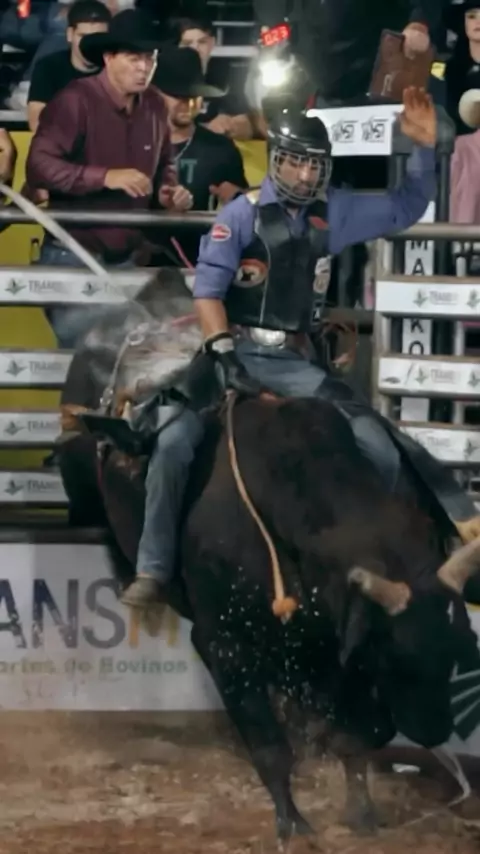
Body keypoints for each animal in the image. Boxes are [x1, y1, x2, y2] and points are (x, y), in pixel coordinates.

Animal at [60, 381, 480, 840]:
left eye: (458, 648)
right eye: (395, 655)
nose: (435, 727)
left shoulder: (334, 650)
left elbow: (355, 736)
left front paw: (360, 810)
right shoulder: (223, 645)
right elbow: (270, 745)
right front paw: (293, 825)